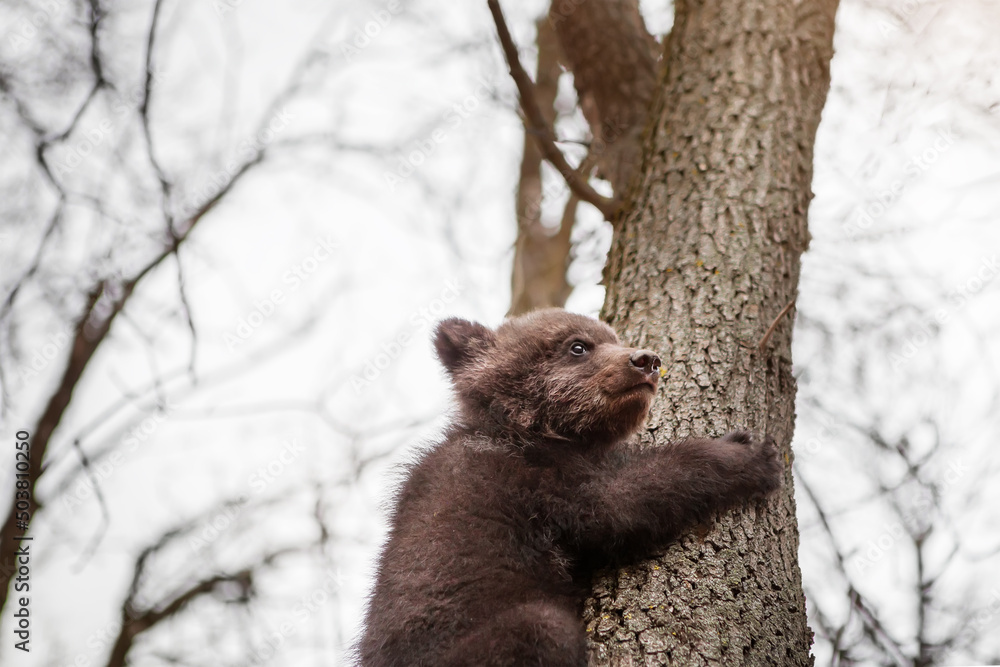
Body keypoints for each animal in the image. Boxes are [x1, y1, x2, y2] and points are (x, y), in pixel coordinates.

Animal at [356, 308, 782, 667]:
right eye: (577, 346)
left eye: (614, 337)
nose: (648, 360)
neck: (533, 430)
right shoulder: (537, 483)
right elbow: (618, 504)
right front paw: (748, 454)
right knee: (544, 630)